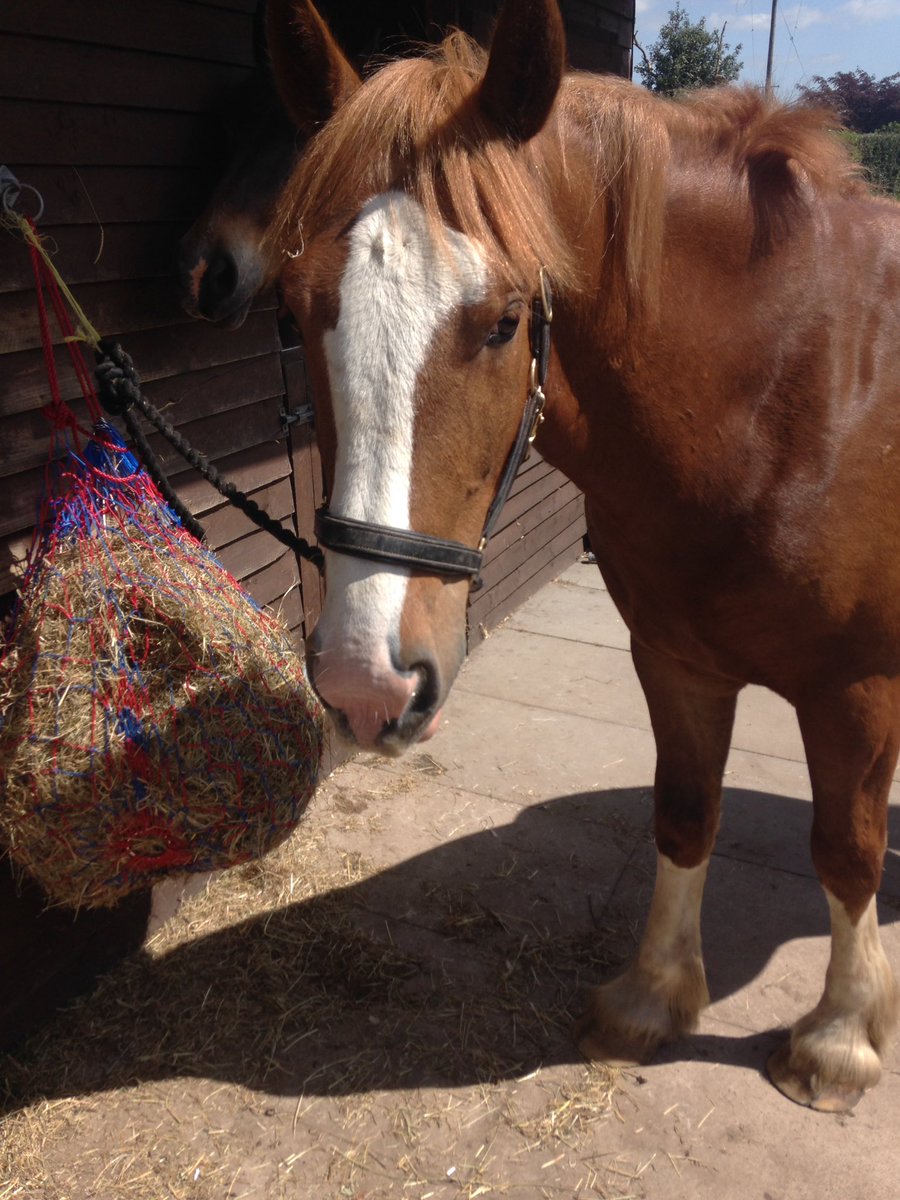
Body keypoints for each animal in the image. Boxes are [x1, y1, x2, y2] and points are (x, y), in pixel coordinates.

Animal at [263, 0, 900, 1111]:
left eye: (505, 321)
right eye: (297, 313)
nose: (365, 685)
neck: (794, 390)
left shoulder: (856, 690)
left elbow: (845, 851)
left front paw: (837, 1038)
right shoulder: (676, 660)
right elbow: (685, 814)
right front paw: (652, 999)